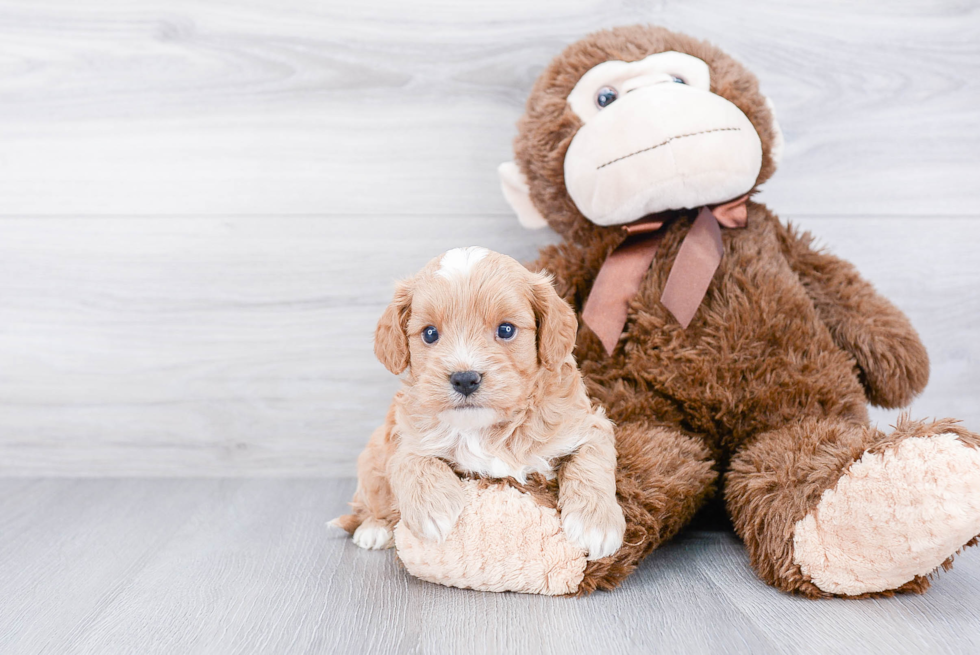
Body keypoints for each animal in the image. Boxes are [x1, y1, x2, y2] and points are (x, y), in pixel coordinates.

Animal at [330, 246, 620, 560]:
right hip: (371, 460)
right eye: (430, 333)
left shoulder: (587, 423)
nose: (465, 379)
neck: (486, 429)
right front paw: (433, 510)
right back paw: (374, 528)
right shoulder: (405, 433)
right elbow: (410, 459)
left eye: (506, 330)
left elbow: (591, 459)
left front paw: (596, 525)